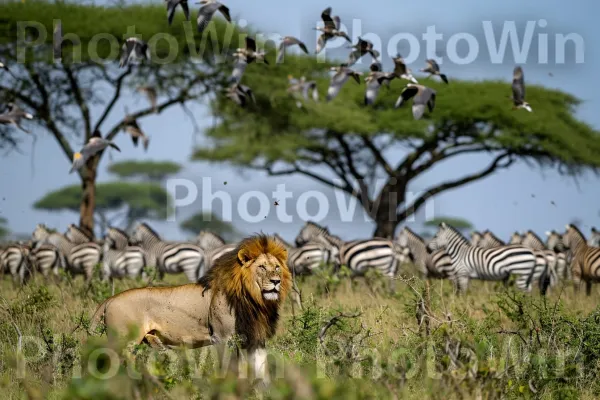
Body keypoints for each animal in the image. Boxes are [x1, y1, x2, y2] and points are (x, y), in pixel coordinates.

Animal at [88, 234, 290, 382]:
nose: (276, 282)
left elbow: (261, 369)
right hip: (124, 342)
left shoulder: (255, 338)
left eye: (277, 267)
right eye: (262, 267)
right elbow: (228, 368)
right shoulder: (222, 338)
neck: (254, 300)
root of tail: (110, 299)